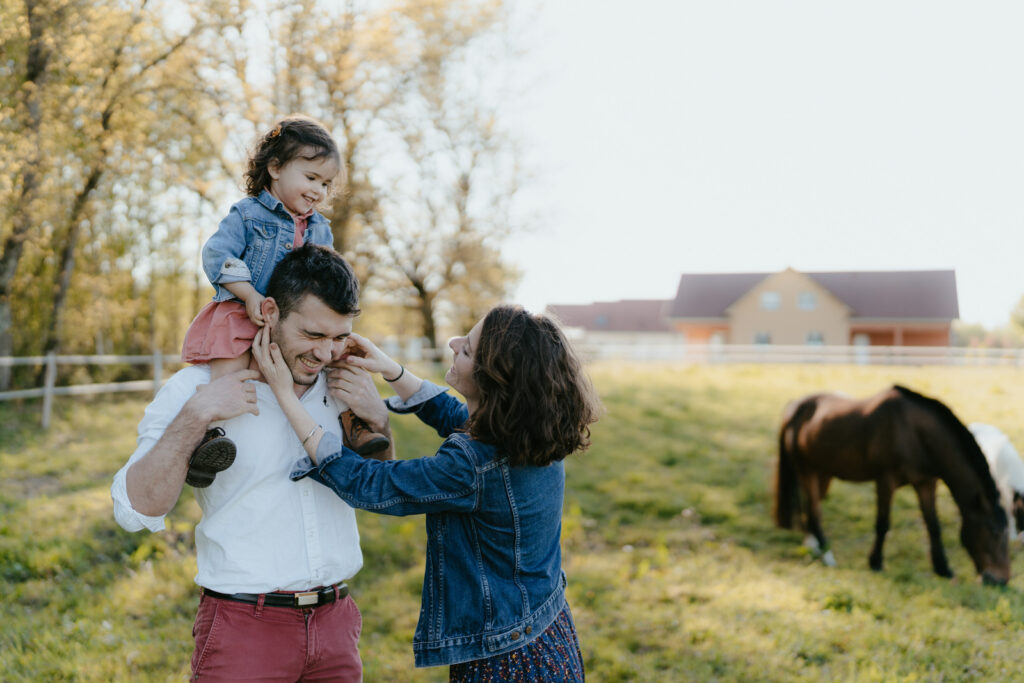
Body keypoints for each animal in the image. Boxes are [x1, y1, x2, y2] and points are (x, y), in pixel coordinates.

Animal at [774, 387, 1007, 585]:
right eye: (994, 531)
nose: (1001, 580)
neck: (916, 433)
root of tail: (794, 408)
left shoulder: (925, 483)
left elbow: (933, 526)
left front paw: (943, 568)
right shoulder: (886, 481)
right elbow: (883, 524)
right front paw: (876, 562)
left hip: (822, 473)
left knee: (810, 512)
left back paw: (813, 548)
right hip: (806, 470)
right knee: (814, 512)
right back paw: (827, 555)